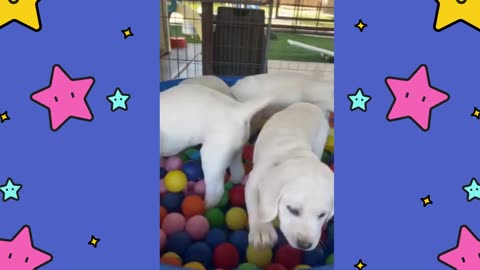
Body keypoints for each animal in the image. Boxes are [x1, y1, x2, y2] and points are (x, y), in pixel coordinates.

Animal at [244, 102, 334, 250]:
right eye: (293, 210)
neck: (294, 155)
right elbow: (255, 205)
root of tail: (310, 105)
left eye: (322, 215)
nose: (304, 244)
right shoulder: (252, 182)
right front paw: (262, 230)